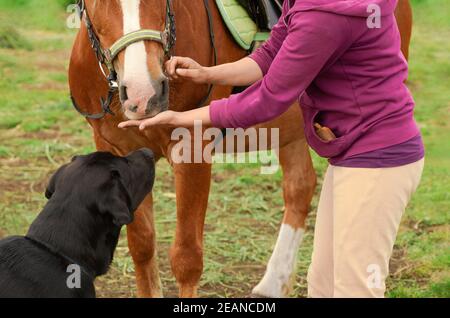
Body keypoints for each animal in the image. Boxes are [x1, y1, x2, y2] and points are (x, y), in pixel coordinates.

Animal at [68, 0, 414, 298]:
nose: (144, 93)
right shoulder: (118, 150)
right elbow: (141, 246)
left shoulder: (192, 152)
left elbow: (186, 258)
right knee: (300, 187)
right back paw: (274, 282)